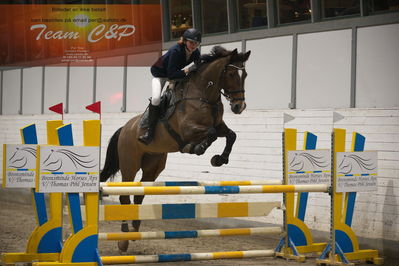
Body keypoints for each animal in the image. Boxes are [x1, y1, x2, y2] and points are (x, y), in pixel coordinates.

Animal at [99, 46, 250, 254]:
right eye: (230, 74)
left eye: (245, 75)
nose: (239, 106)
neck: (204, 94)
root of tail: (125, 128)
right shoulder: (189, 130)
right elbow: (210, 134)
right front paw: (195, 147)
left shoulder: (219, 126)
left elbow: (231, 135)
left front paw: (219, 159)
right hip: (130, 164)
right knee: (124, 195)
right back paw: (123, 239)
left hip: (153, 165)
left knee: (139, 194)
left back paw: (135, 228)